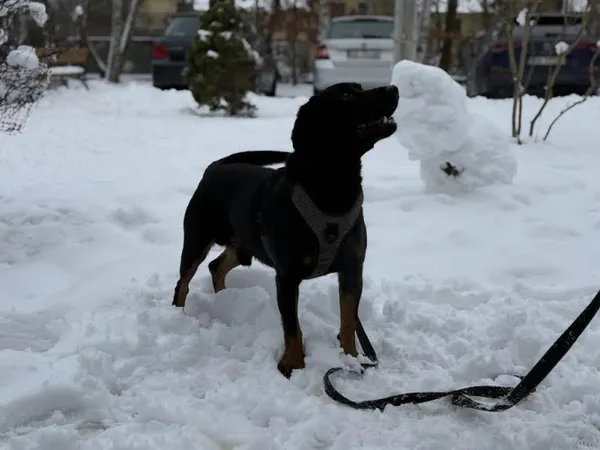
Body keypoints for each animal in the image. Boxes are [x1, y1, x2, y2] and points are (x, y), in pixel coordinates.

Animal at [172, 81, 398, 376]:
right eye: (347, 94)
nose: (393, 89)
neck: (333, 191)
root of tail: (215, 166)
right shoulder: (287, 275)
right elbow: (292, 326)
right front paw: (293, 364)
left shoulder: (352, 268)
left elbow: (349, 320)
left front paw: (351, 359)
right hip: (197, 237)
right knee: (184, 281)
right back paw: (177, 315)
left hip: (243, 243)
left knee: (217, 266)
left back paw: (226, 299)